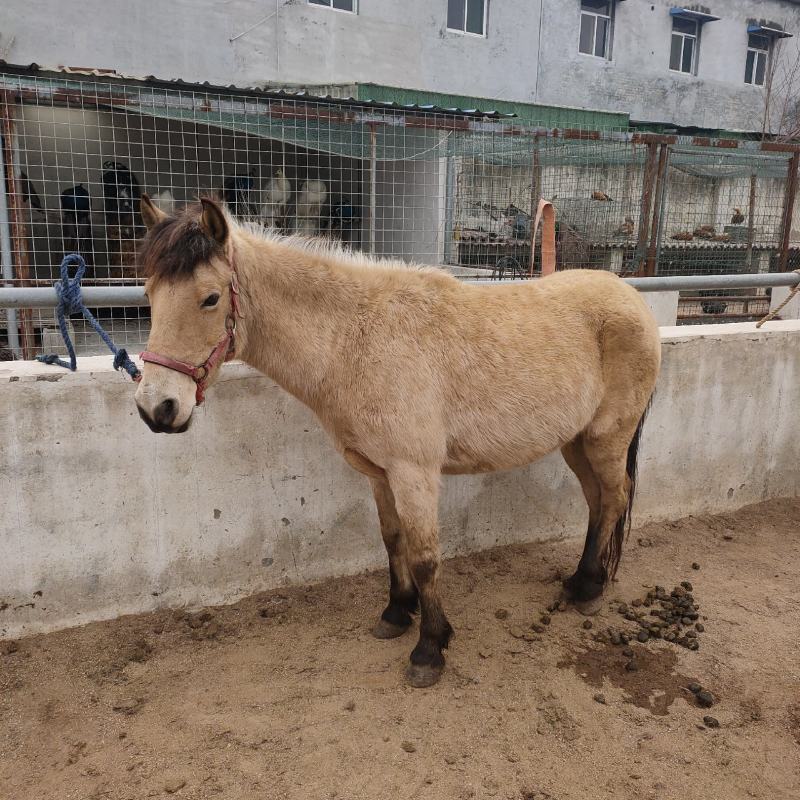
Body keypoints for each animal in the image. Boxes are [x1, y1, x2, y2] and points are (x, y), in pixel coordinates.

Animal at [134, 195, 661, 688]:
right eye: (150, 292)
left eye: (210, 298)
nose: (156, 408)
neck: (357, 340)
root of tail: (630, 297)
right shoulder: (378, 471)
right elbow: (392, 540)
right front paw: (396, 613)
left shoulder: (414, 472)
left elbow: (425, 557)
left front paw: (429, 649)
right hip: (576, 441)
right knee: (597, 502)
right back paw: (580, 581)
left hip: (606, 437)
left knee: (615, 497)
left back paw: (589, 591)